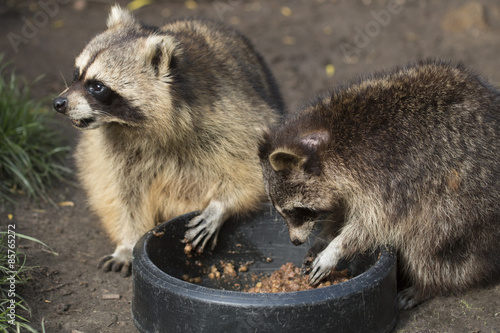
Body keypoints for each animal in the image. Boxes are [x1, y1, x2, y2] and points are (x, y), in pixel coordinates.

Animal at [53, 5, 286, 276]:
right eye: (76, 74)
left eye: (98, 86)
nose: (58, 103)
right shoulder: (108, 147)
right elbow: (119, 193)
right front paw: (127, 242)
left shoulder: (231, 114)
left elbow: (255, 168)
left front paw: (220, 206)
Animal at [258, 59, 500, 308]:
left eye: (295, 211)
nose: (296, 241)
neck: (329, 138)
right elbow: (343, 206)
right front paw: (326, 235)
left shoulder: (394, 176)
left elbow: (376, 224)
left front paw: (337, 247)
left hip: (467, 203)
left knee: (430, 241)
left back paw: (427, 284)